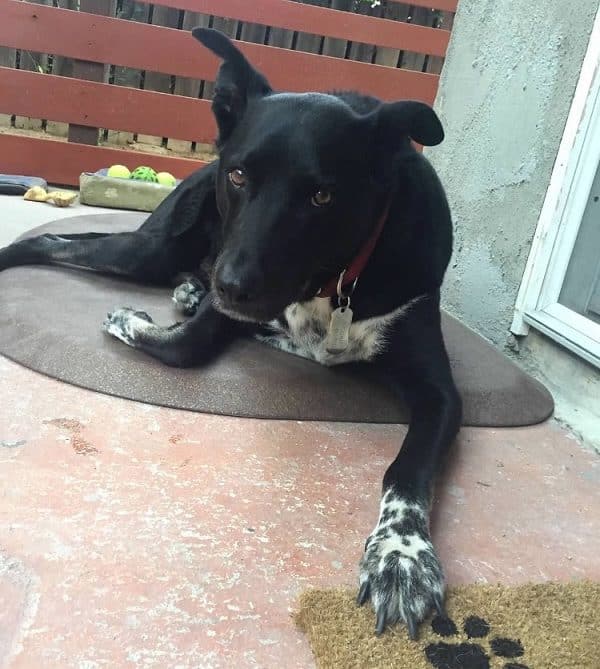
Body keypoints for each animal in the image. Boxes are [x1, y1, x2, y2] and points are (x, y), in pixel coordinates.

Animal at [0, 30, 460, 636]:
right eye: (239, 176)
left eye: (322, 197)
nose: (233, 285)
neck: (338, 280)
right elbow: (186, 345)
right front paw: (130, 320)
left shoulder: (439, 393)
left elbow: (407, 470)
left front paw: (400, 558)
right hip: (152, 250)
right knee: (54, 243)